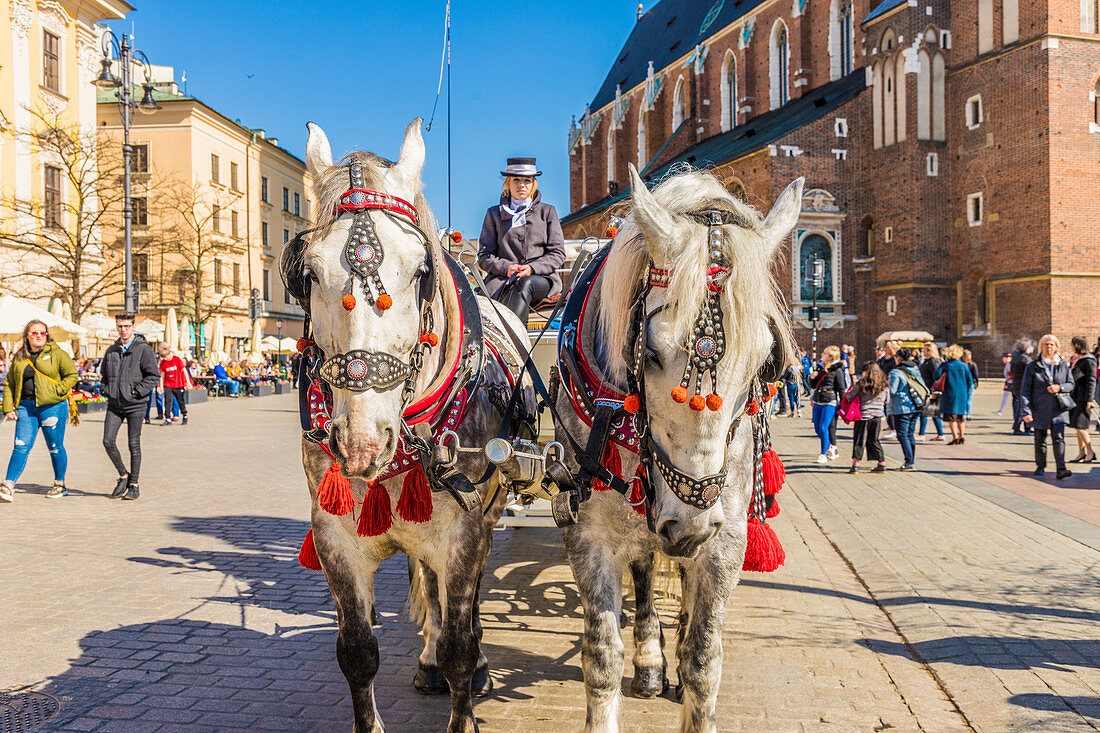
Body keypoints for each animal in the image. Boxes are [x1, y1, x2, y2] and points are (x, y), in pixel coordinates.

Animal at [290, 119, 534, 730]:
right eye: (308, 272)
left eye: (421, 269)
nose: (360, 443)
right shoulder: (335, 538)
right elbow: (358, 653)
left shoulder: (466, 533)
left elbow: (460, 645)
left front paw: (468, 693)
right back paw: (426, 662)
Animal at [550, 165, 800, 730]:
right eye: (652, 351)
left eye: (766, 361)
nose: (688, 524)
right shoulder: (588, 533)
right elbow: (601, 658)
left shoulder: (726, 538)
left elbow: (705, 661)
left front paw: (691, 667)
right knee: (644, 569)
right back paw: (649, 659)